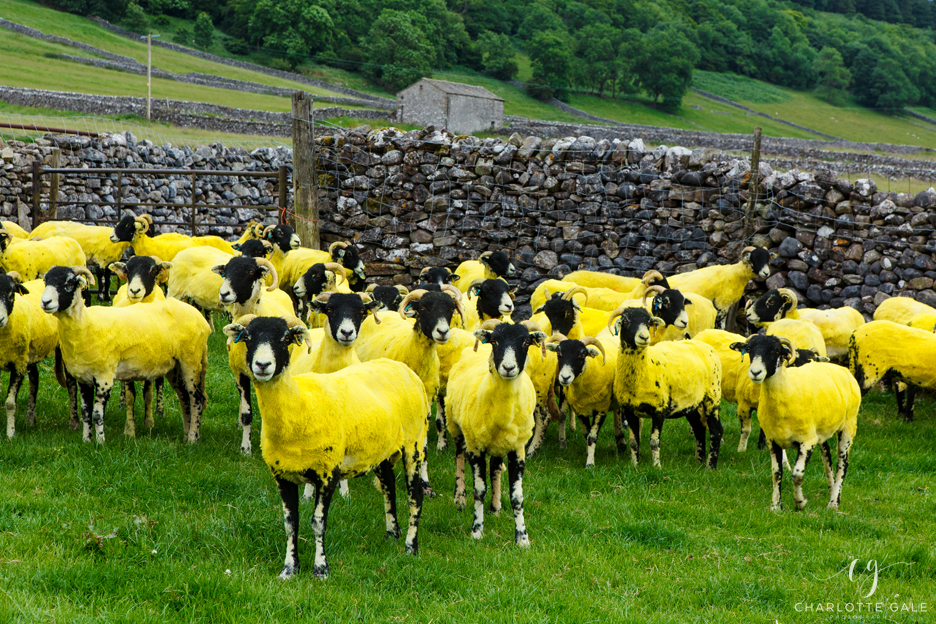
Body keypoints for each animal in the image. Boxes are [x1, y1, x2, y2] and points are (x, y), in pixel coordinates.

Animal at [41, 266, 208, 444]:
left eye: (69, 282)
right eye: (46, 281)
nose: (45, 302)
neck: (86, 323)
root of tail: (201, 319)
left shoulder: (104, 376)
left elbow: (97, 414)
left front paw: (100, 442)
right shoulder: (83, 378)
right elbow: (86, 412)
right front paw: (86, 440)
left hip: (191, 360)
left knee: (196, 399)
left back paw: (193, 439)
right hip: (174, 366)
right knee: (184, 398)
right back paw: (186, 435)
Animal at [225, 316, 430, 580]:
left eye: (285, 338)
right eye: (248, 337)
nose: (262, 365)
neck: (299, 403)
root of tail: (404, 369)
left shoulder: (328, 474)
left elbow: (318, 522)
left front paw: (321, 569)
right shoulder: (282, 476)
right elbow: (290, 523)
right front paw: (289, 569)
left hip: (415, 443)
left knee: (415, 496)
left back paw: (410, 547)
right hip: (381, 450)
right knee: (389, 488)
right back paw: (391, 534)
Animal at [448, 320, 548, 544]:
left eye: (526, 342)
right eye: (495, 341)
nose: (508, 368)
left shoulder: (517, 448)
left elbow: (517, 497)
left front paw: (522, 538)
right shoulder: (475, 447)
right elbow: (479, 491)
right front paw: (477, 531)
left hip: (499, 444)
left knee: (494, 467)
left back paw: (495, 507)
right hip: (456, 427)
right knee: (459, 458)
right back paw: (459, 498)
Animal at [608, 308, 724, 468]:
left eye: (648, 322)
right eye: (625, 320)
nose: (644, 337)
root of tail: (706, 346)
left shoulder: (659, 410)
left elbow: (654, 441)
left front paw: (657, 466)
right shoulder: (629, 410)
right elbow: (633, 441)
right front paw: (634, 465)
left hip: (712, 397)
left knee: (716, 431)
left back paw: (710, 466)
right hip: (691, 404)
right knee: (699, 428)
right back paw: (699, 461)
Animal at [736, 334, 860, 510]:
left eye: (776, 350)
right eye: (750, 350)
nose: (755, 372)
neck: (787, 390)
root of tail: (842, 369)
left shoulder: (807, 441)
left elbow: (797, 474)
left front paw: (800, 502)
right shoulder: (773, 440)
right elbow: (776, 473)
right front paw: (776, 506)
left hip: (848, 426)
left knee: (843, 463)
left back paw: (834, 502)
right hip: (821, 431)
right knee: (827, 457)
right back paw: (831, 491)